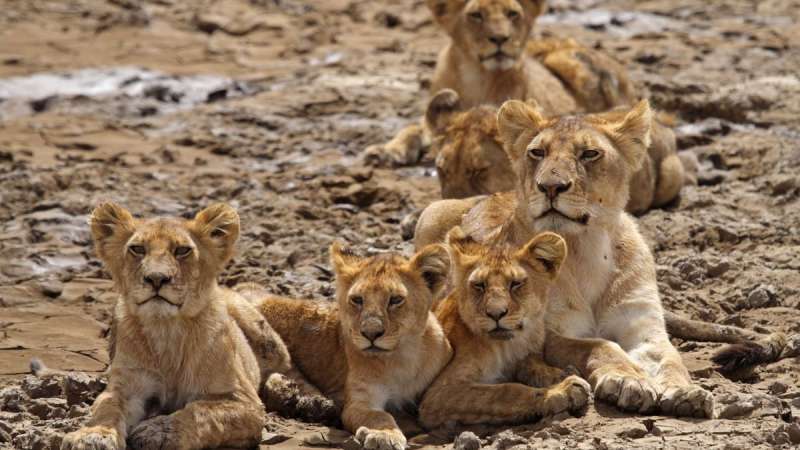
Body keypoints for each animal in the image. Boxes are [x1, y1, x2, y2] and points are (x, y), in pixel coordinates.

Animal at [60, 202, 292, 450]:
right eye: (137, 249)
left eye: (182, 250)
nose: (156, 278)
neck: (167, 329)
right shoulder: (127, 386)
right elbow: (107, 406)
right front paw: (92, 435)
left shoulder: (245, 402)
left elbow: (200, 412)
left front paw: (159, 431)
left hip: (267, 340)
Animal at [241, 242, 453, 450]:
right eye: (357, 300)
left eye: (396, 299)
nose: (371, 333)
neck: (402, 356)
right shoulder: (359, 402)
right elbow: (379, 415)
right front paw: (384, 435)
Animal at [364, 0, 637, 167]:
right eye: (476, 15)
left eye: (512, 13)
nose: (499, 38)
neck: (478, 77)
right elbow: (412, 128)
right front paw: (386, 151)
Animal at [418, 227, 590, 429]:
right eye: (479, 285)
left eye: (515, 284)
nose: (496, 313)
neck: (508, 346)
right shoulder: (439, 393)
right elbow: (505, 391)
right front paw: (563, 390)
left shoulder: (527, 354)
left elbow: (534, 366)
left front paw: (561, 374)